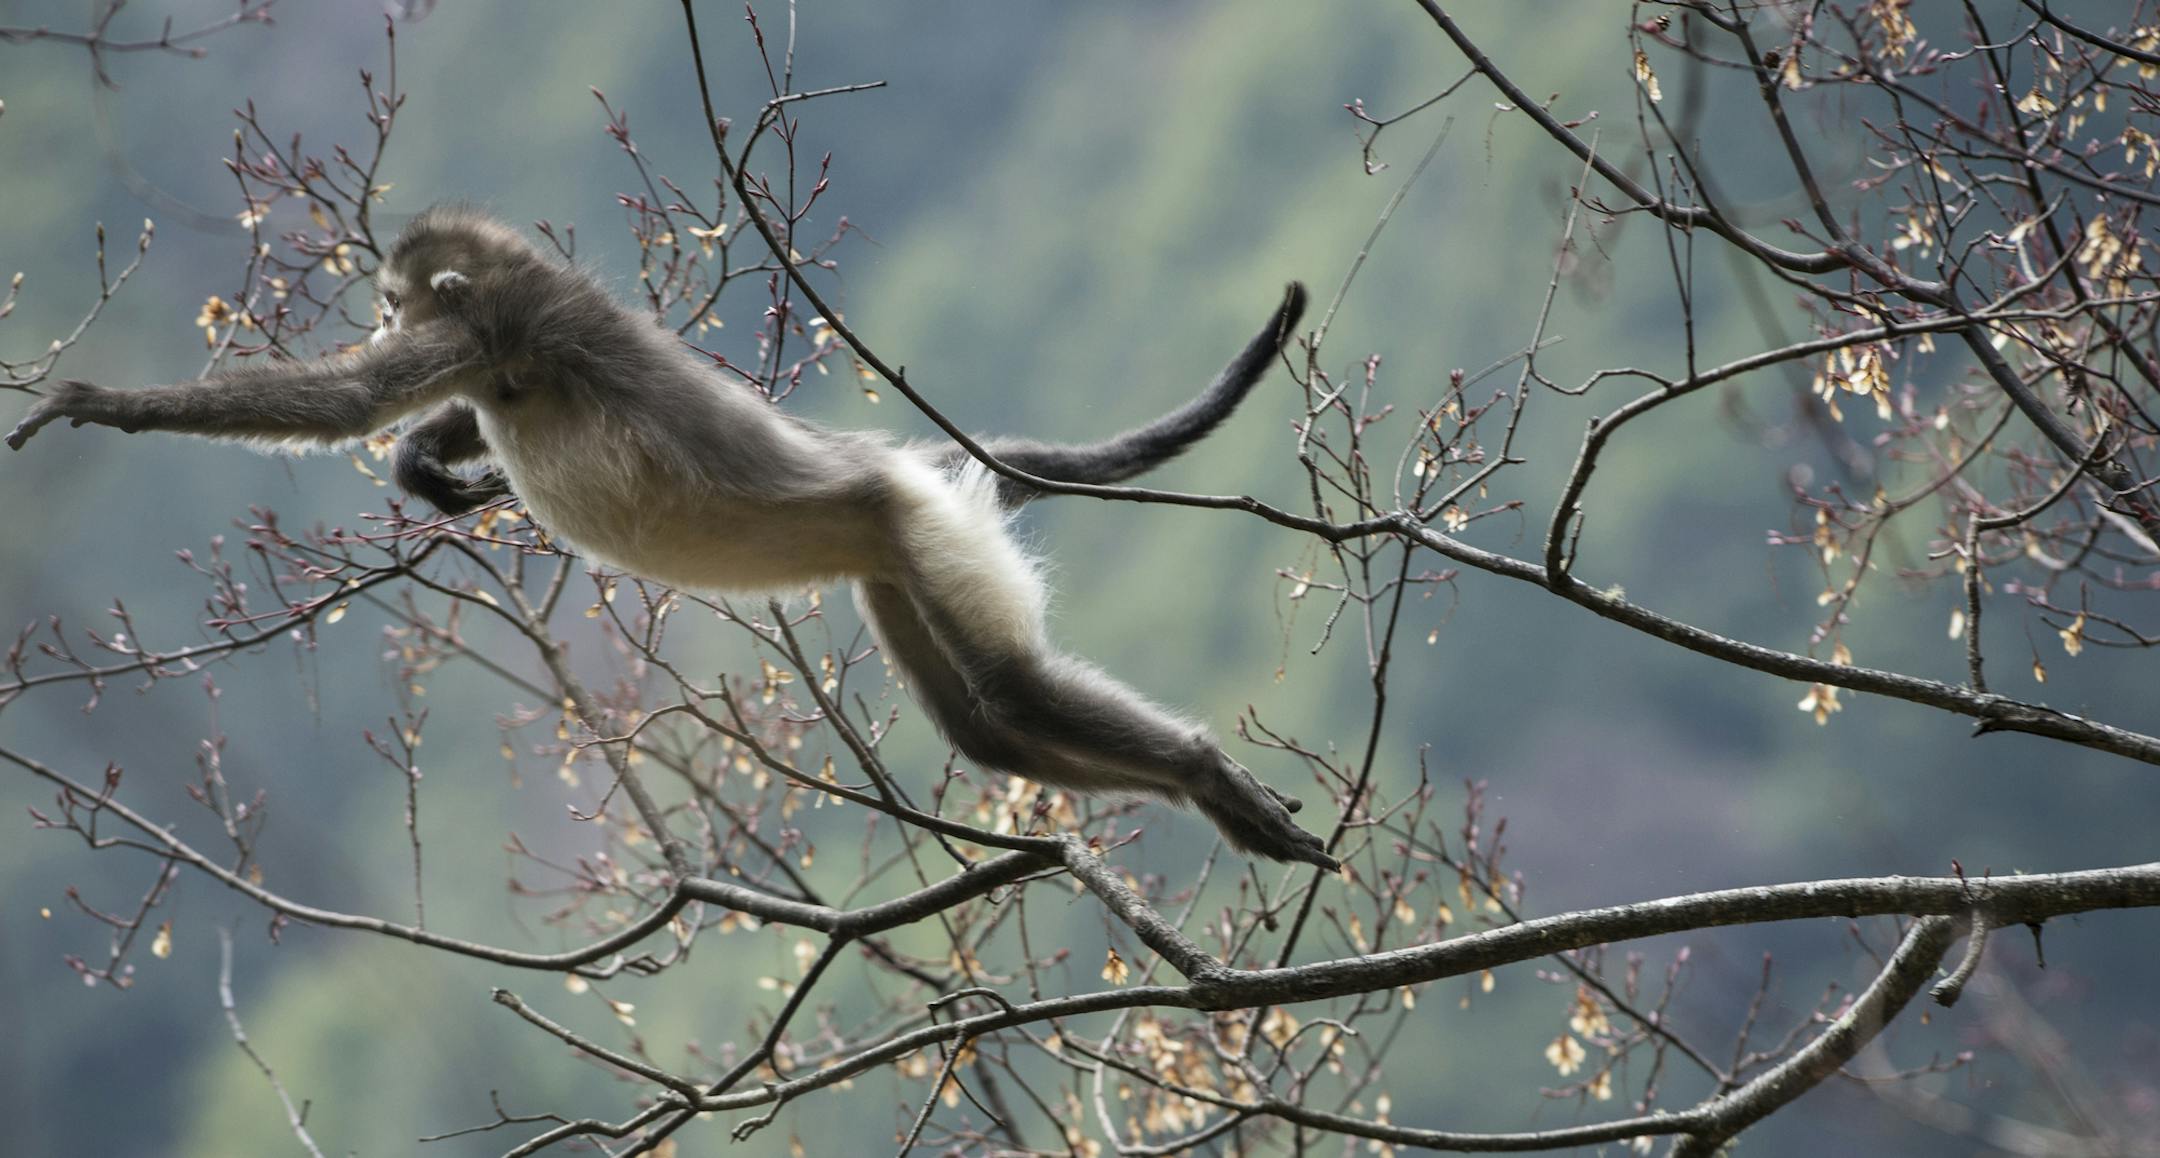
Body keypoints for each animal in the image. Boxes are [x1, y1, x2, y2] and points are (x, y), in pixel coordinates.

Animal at [8, 206, 1337, 869]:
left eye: (387, 303)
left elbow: (343, 403)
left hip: (915, 525)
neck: (512, 315)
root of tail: (903, 465)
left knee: (1008, 691)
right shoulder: (489, 346)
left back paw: (1202, 773)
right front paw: (424, 460)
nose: (378, 317)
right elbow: (400, 417)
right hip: (894, 550)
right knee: (990, 727)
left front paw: (98, 403)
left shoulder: (499, 331)